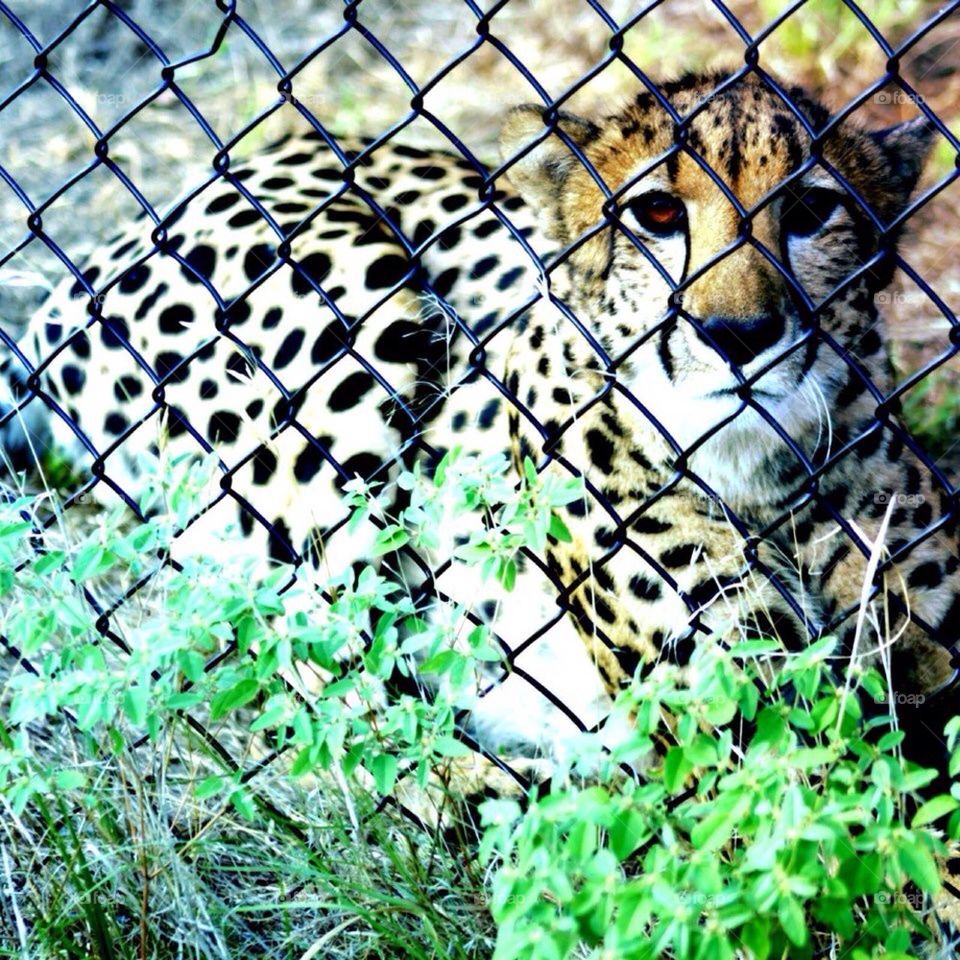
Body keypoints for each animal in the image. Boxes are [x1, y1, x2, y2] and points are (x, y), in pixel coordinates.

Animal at [2, 70, 959, 802]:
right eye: (655, 214)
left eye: (811, 211)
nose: (738, 336)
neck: (762, 475)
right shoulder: (740, 718)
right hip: (353, 316)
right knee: (328, 682)